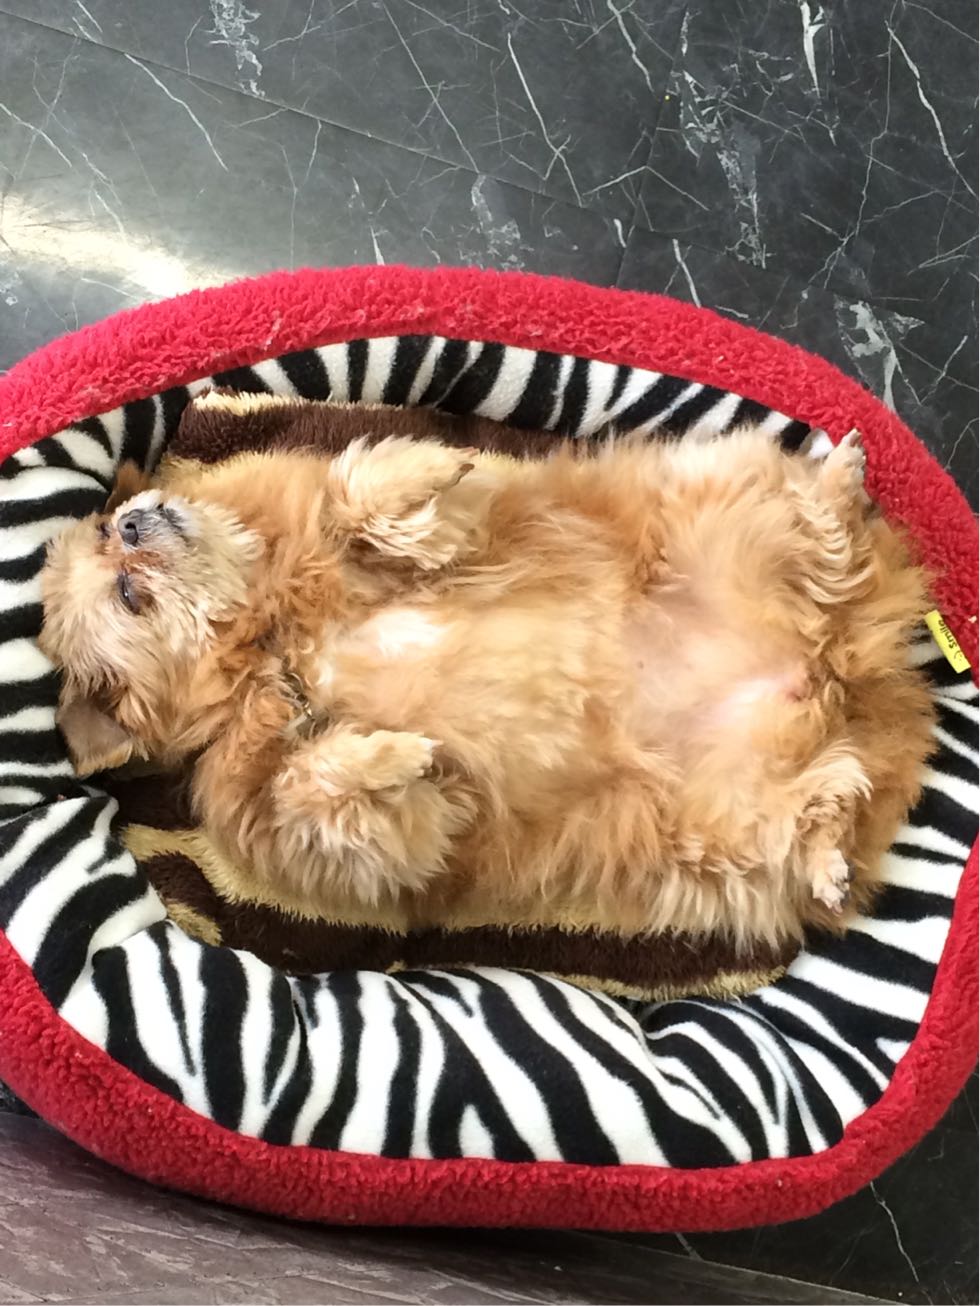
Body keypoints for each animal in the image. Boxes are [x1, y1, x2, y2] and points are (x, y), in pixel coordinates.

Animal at [38, 417, 935, 947]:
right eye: (128, 595)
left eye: (111, 539)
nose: (131, 520)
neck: (274, 637)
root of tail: (840, 672)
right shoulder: (354, 834)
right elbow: (321, 783)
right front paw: (396, 752)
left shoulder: (445, 533)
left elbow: (357, 498)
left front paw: (429, 468)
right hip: (725, 835)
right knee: (822, 803)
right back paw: (826, 857)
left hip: (722, 504)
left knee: (824, 537)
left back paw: (841, 474)